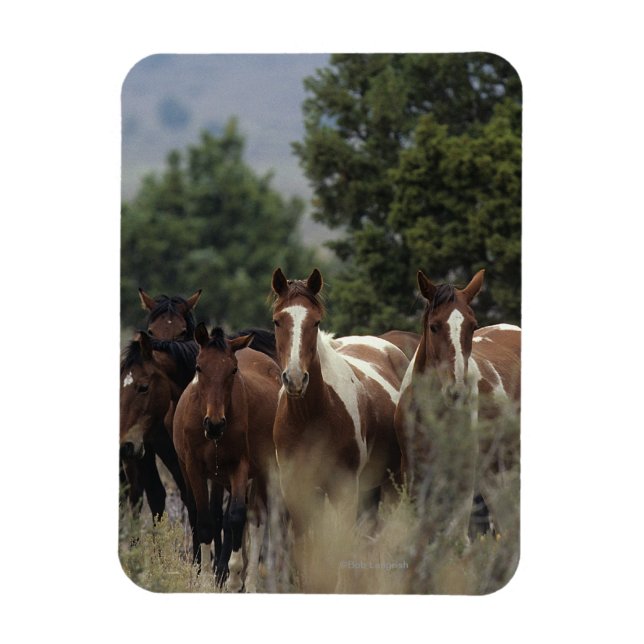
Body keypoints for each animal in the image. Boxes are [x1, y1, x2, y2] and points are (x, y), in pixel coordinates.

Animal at [172, 324, 281, 592]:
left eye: (233, 369)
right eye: (199, 367)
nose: (214, 424)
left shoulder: (239, 466)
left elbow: (236, 516)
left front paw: (232, 578)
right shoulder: (194, 469)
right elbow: (204, 521)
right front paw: (204, 580)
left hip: (264, 470)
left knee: (257, 519)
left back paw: (250, 583)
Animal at [270, 268, 409, 591]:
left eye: (315, 321)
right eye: (277, 320)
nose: (295, 379)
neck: (311, 418)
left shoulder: (344, 489)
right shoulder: (297, 490)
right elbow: (305, 555)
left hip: (390, 485)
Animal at [394, 269, 520, 547]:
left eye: (472, 326)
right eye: (434, 326)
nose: (457, 390)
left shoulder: (462, 478)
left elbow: (457, 540)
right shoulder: (414, 475)